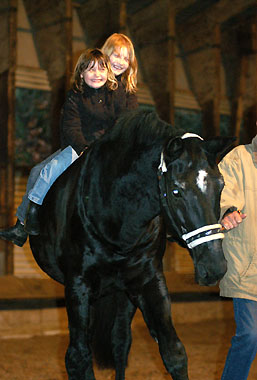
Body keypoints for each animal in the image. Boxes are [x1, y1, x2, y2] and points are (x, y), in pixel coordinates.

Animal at [29, 108, 231, 378]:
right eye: (176, 191)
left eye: (221, 185)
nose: (215, 267)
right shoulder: (77, 285)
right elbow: (77, 357)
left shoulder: (148, 280)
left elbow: (173, 352)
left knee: (120, 342)